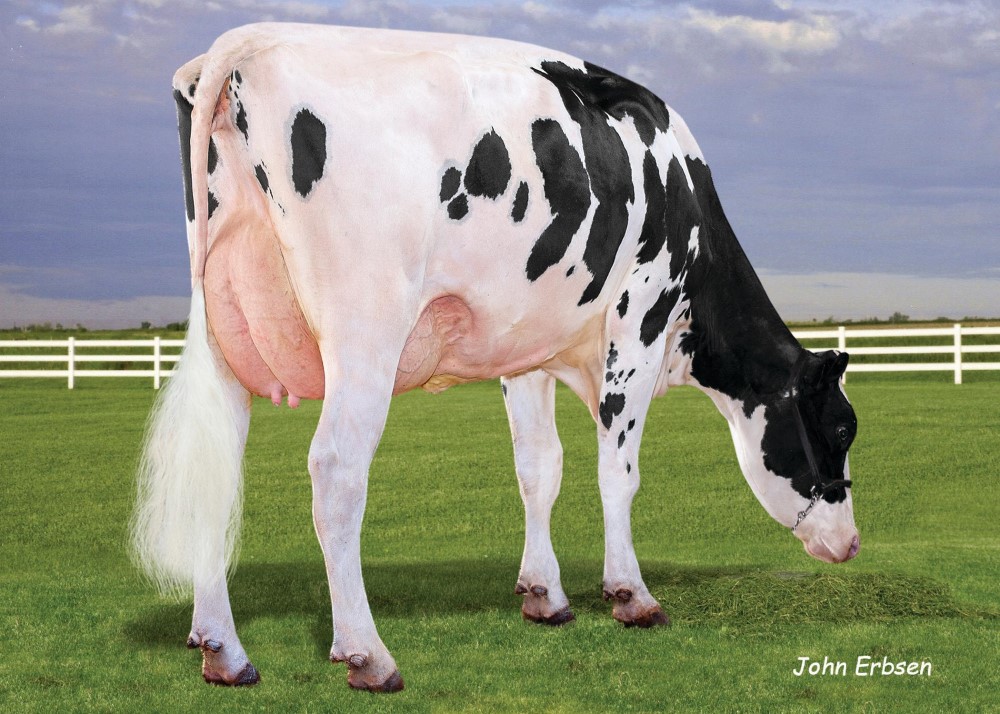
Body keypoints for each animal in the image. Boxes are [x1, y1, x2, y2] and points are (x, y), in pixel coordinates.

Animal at [131, 23, 859, 693]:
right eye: (841, 428)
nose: (851, 543)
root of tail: (251, 40)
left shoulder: (526, 351)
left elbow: (540, 468)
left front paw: (545, 595)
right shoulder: (641, 319)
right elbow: (617, 472)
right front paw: (631, 595)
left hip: (223, 329)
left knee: (215, 470)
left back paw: (223, 650)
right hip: (366, 328)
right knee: (336, 471)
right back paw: (367, 654)